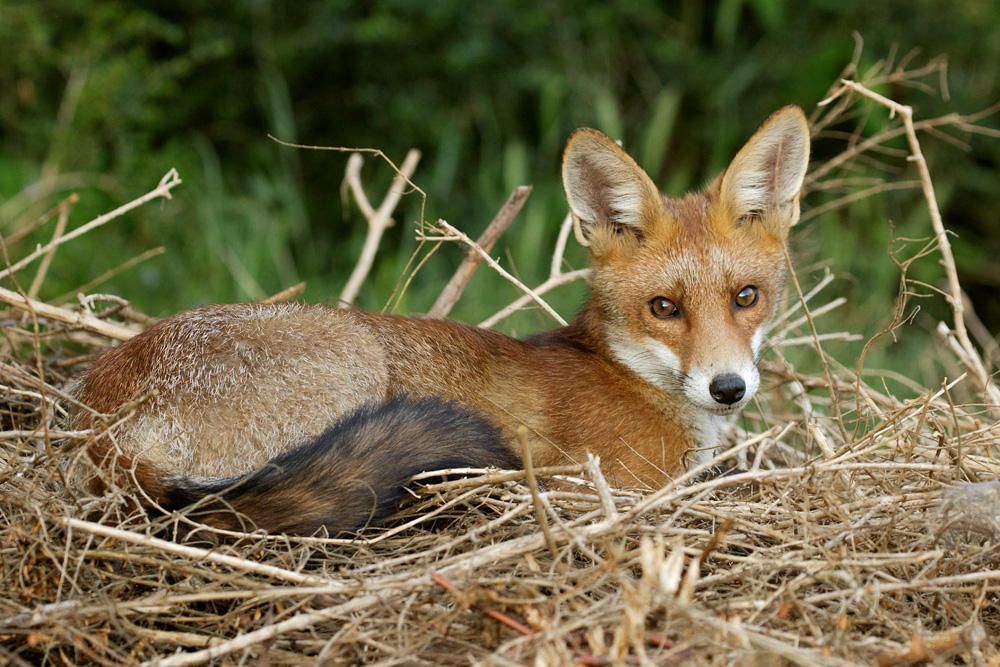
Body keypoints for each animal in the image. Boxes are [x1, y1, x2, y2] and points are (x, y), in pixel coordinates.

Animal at [70, 106, 810, 536]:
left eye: (747, 297)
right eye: (664, 309)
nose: (728, 388)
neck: (623, 375)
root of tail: (98, 418)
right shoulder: (609, 483)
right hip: (354, 363)